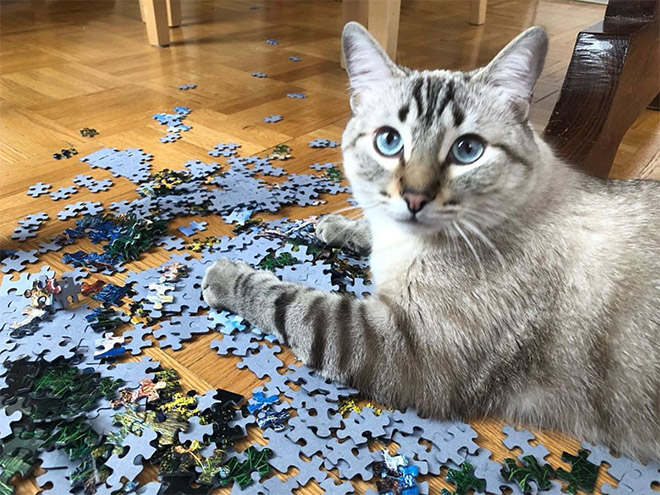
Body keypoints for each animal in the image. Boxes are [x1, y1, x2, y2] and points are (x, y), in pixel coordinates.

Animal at [202, 22, 660, 462]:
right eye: (388, 141)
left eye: (468, 150)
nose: (415, 197)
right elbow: (368, 227)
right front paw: (338, 226)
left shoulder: (398, 345)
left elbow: (293, 302)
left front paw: (224, 275)